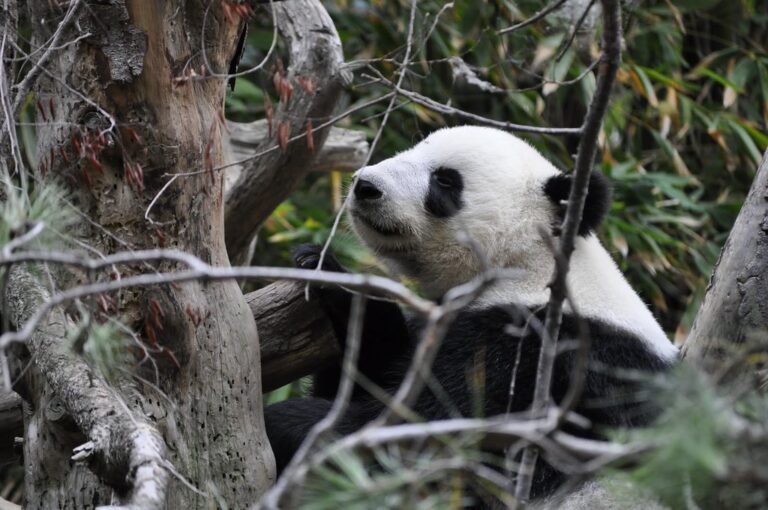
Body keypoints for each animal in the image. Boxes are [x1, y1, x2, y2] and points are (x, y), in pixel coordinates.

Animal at [264, 125, 678, 503]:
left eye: (445, 180)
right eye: (413, 148)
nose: (365, 186)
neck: (526, 266)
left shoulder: (535, 350)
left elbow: (417, 439)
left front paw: (285, 423)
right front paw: (327, 272)